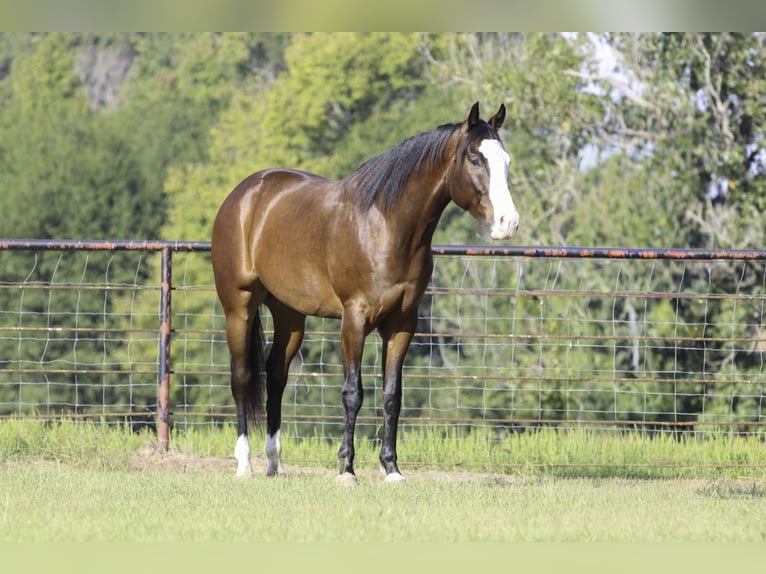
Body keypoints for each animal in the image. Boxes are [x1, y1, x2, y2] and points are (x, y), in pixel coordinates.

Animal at [211, 102, 519, 482]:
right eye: (476, 159)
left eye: (506, 161)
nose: (508, 223)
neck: (385, 226)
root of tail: (244, 193)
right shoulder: (354, 319)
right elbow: (352, 393)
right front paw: (346, 468)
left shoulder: (402, 324)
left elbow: (392, 396)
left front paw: (392, 469)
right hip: (238, 305)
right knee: (241, 378)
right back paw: (244, 464)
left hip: (289, 315)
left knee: (276, 377)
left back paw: (272, 463)